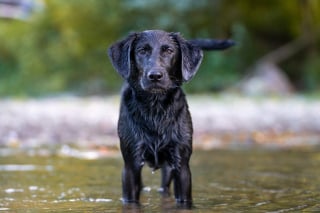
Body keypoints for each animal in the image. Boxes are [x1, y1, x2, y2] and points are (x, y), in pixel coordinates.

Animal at [107, 30, 232, 205]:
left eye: (169, 51)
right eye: (142, 51)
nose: (155, 76)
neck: (156, 110)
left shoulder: (181, 164)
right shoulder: (131, 164)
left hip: (168, 168)